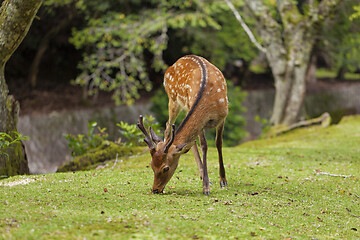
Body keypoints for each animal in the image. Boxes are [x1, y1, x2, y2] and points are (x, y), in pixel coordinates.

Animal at [138, 55, 228, 196]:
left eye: (166, 168)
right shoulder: (200, 122)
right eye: (151, 165)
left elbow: (218, 143)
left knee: (188, 139)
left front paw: (222, 180)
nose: (155, 189)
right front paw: (206, 186)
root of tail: (176, 62)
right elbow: (204, 145)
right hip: (173, 99)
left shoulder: (223, 116)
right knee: (168, 126)